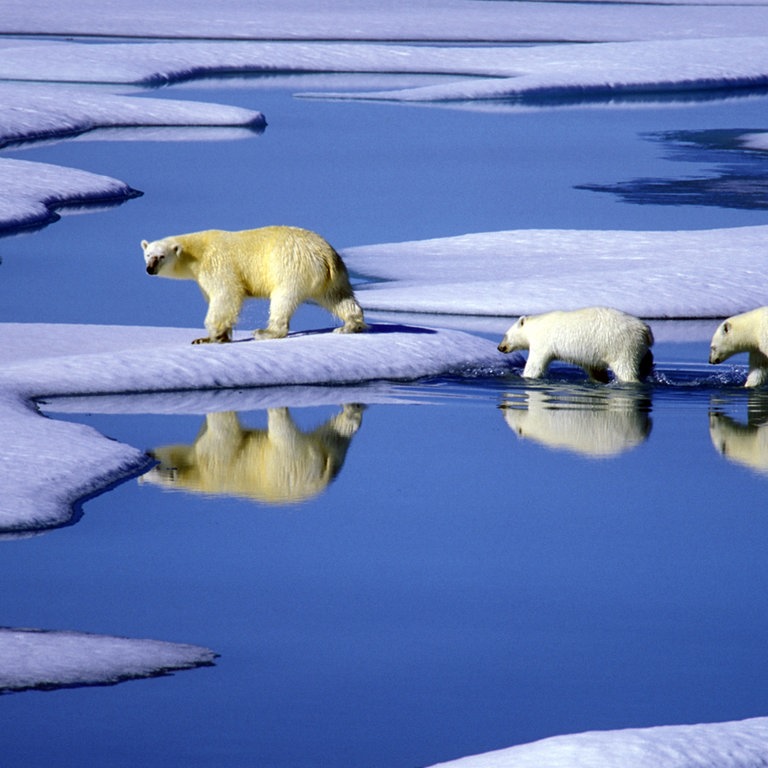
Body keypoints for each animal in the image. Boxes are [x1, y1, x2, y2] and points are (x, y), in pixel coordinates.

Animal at [142, 226, 368, 344]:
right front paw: (219, 336)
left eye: (160, 256)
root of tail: (325, 254)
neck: (197, 252)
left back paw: (265, 332)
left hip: (290, 266)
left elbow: (226, 295)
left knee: (282, 299)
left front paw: (209, 337)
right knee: (338, 297)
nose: (149, 269)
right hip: (334, 275)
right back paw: (349, 326)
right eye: (147, 254)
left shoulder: (216, 264)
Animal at [498, 306, 656, 384]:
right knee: (646, 359)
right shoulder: (591, 356)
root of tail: (645, 329)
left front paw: (524, 376)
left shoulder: (543, 341)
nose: (500, 347)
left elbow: (535, 364)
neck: (536, 325)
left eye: (505, 335)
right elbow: (595, 370)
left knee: (625, 369)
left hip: (622, 346)